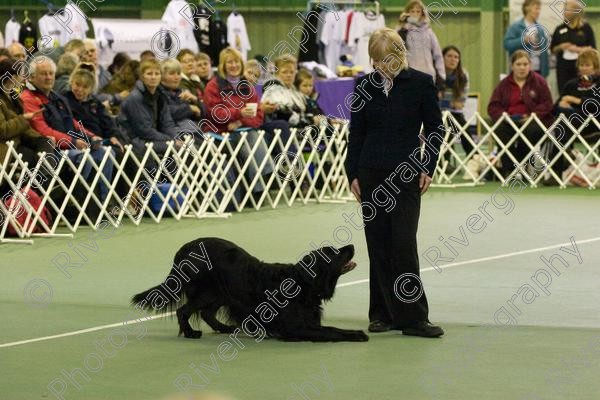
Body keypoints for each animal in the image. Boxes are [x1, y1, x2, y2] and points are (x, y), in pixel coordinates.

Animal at [131, 236, 366, 342]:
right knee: (184, 310)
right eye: (334, 252)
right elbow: (330, 332)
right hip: (206, 291)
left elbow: (333, 328)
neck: (301, 283)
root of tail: (183, 250)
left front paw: (355, 332)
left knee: (206, 313)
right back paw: (190, 333)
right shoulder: (296, 328)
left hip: (220, 293)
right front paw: (357, 335)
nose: (352, 246)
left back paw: (225, 328)